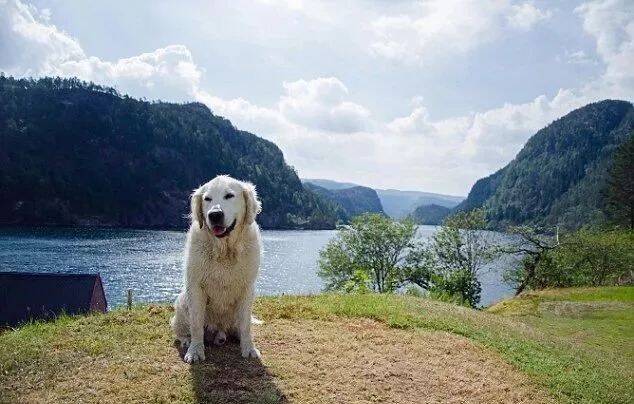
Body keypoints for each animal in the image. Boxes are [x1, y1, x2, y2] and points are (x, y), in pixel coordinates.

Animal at [169, 174, 260, 362]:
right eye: (207, 199)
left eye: (229, 195)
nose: (215, 215)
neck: (224, 250)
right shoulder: (195, 286)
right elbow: (196, 323)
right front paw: (195, 351)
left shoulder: (248, 288)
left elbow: (246, 324)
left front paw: (248, 347)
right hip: (181, 302)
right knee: (182, 329)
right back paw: (187, 340)